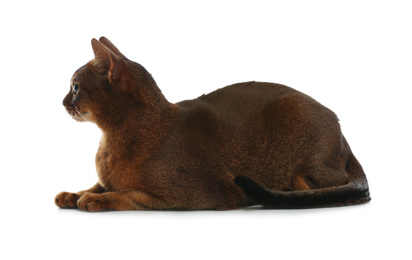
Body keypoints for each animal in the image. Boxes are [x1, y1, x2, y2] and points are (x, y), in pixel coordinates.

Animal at [54, 37, 370, 211]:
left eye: (75, 87)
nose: (62, 101)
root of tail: (344, 135)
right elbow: (98, 184)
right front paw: (74, 194)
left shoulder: (193, 195)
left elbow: (130, 194)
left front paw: (98, 200)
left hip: (299, 139)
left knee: (332, 189)